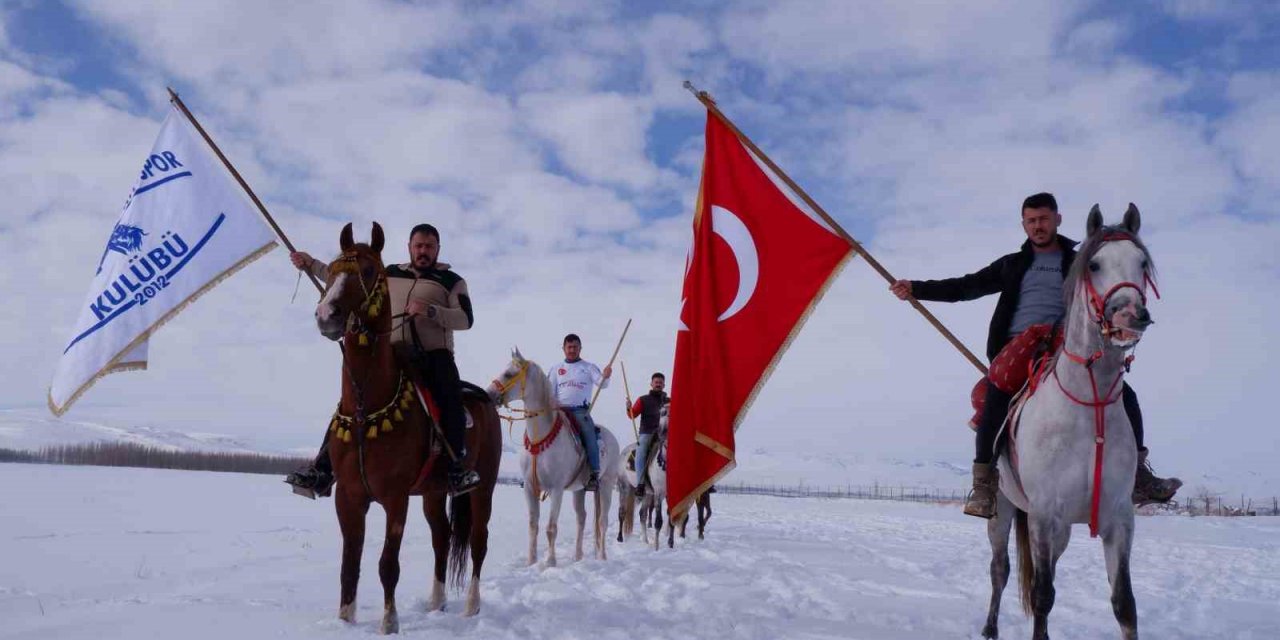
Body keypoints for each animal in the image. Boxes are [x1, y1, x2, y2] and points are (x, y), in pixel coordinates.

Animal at [314, 222, 499, 632]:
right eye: (331, 269)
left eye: (368, 270)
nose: (327, 314)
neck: (366, 406)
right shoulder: (347, 496)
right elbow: (349, 564)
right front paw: (345, 620)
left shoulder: (395, 498)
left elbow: (387, 564)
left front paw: (390, 623)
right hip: (433, 492)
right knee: (442, 538)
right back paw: (437, 602)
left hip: (482, 488)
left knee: (478, 542)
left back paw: (471, 606)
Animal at [486, 350, 616, 565]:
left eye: (509, 373)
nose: (488, 394)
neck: (540, 439)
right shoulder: (530, 487)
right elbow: (533, 526)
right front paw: (531, 562)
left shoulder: (556, 489)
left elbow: (551, 528)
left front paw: (550, 563)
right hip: (579, 490)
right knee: (582, 518)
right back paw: (578, 557)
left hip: (606, 485)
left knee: (602, 522)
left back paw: (602, 557)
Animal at [983, 203, 1157, 640]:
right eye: (1094, 264)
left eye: (1142, 263)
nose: (1130, 315)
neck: (1087, 409)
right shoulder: (1045, 514)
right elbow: (1042, 596)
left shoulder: (1119, 520)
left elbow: (1124, 605)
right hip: (1003, 510)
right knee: (1000, 570)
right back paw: (989, 628)